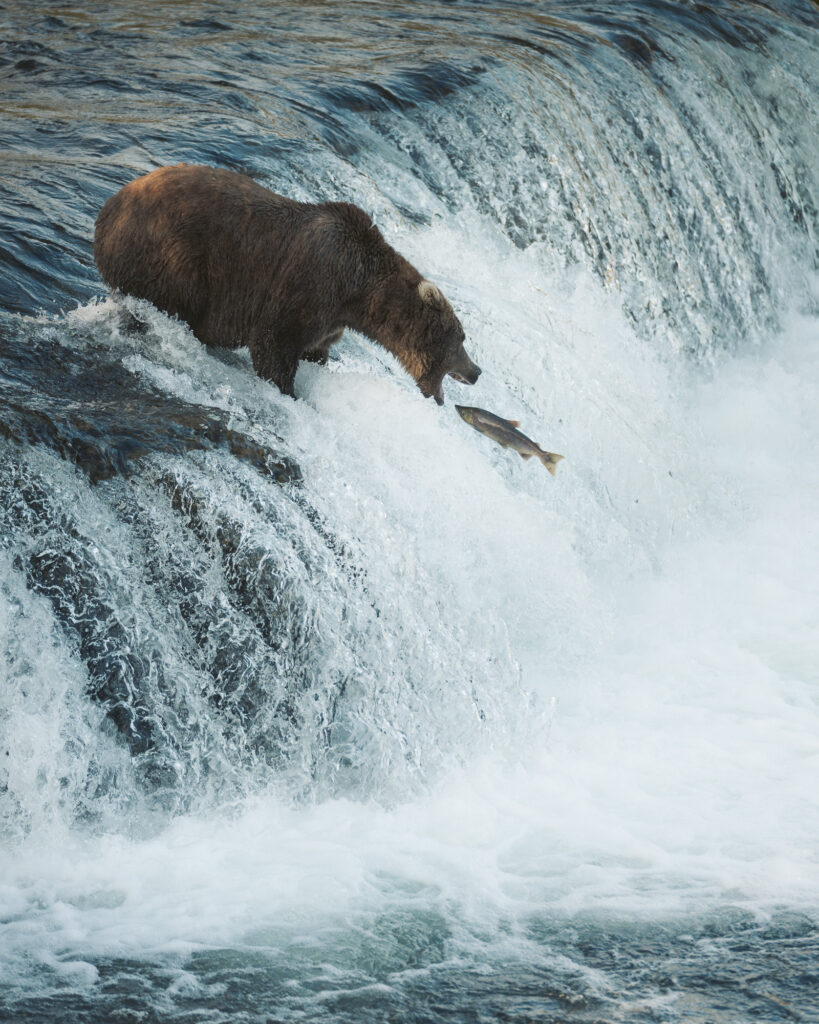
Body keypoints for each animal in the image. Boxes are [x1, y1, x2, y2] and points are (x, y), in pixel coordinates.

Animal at [93, 164, 481, 403]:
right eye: (460, 339)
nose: (476, 371)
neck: (358, 294)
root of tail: (108, 208)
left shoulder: (330, 319)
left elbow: (314, 349)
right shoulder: (310, 285)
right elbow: (274, 344)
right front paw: (288, 391)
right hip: (171, 258)